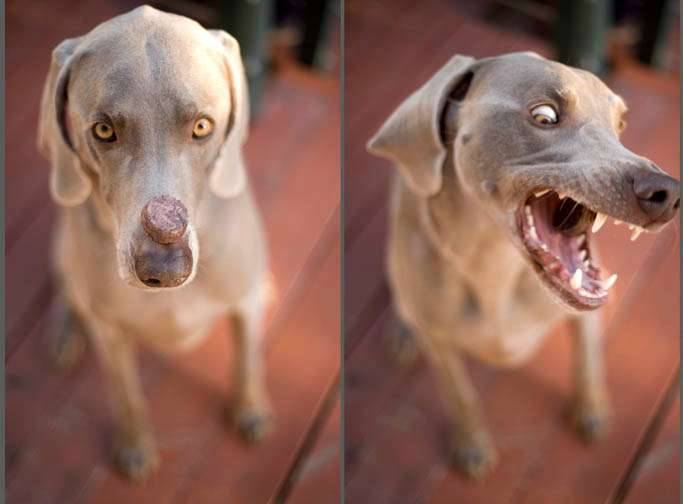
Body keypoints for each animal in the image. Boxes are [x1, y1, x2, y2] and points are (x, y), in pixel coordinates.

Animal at [38, 6, 272, 480]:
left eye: (202, 126)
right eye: (103, 129)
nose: (163, 272)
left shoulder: (245, 300)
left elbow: (246, 359)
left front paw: (249, 408)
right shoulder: (110, 332)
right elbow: (126, 393)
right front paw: (134, 446)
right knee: (67, 288)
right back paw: (66, 334)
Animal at [368, 52, 680, 480]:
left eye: (620, 126)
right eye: (544, 116)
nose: (668, 193)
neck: (493, 268)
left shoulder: (583, 317)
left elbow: (588, 362)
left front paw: (591, 410)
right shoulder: (440, 344)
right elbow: (460, 396)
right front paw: (472, 444)